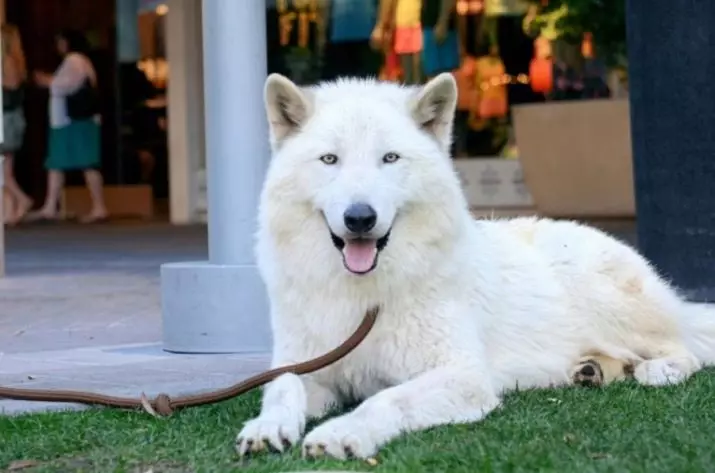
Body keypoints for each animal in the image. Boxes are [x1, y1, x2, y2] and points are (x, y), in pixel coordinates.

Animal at [238, 73, 715, 458]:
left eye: (389, 159)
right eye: (329, 160)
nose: (360, 218)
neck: (364, 296)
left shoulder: (462, 375)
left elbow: (385, 399)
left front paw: (341, 435)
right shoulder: (307, 367)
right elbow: (281, 386)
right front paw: (267, 427)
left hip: (606, 299)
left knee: (684, 349)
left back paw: (658, 370)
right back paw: (590, 370)